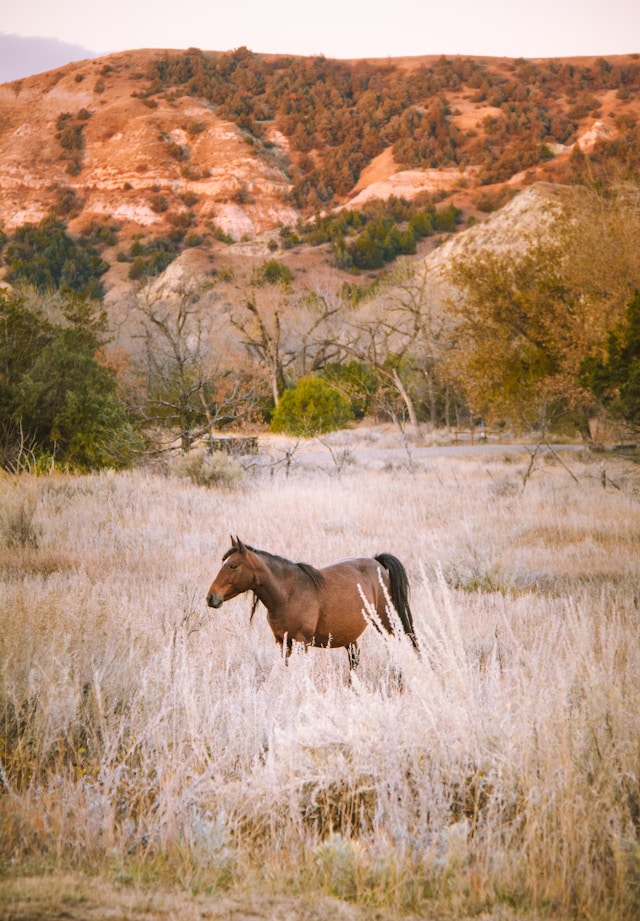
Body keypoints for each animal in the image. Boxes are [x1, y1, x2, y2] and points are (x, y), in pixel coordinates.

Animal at [206, 536, 418, 669]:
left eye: (233, 566)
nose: (210, 597)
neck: (288, 595)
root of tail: (377, 563)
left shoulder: (301, 642)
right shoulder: (283, 643)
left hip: (386, 623)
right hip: (350, 636)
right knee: (354, 659)